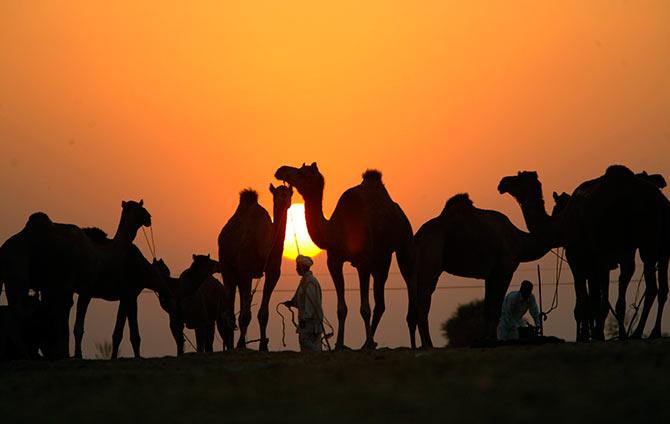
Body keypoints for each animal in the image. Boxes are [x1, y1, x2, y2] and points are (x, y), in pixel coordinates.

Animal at [219, 184, 292, 350]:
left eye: (290, 193)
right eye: (276, 194)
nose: (284, 200)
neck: (265, 247)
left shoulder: (273, 273)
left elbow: (263, 314)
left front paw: (263, 346)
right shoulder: (246, 271)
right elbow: (246, 315)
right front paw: (241, 344)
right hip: (226, 266)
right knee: (229, 307)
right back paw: (231, 345)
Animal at [276, 162, 418, 348]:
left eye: (302, 172)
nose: (281, 170)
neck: (337, 231)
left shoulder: (363, 262)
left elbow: (364, 308)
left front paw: (366, 343)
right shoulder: (334, 261)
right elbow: (341, 309)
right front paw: (338, 344)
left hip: (404, 241)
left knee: (410, 283)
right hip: (382, 258)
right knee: (380, 303)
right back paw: (368, 342)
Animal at [414, 194, 552, 346]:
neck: (520, 240)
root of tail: (417, 237)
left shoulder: (490, 274)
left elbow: (488, 306)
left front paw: (486, 338)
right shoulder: (504, 270)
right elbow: (496, 306)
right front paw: (494, 340)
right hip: (429, 260)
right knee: (423, 302)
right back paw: (428, 345)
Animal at [502, 166, 668, 342]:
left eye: (517, 178)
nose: (502, 183)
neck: (563, 223)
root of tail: (660, 201)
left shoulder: (580, 261)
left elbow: (586, 303)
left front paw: (589, 336)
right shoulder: (606, 260)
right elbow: (595, 300)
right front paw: (597, 334)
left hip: (619, 243)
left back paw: (634, 333)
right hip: (650, 244)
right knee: (654, 285)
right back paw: (646, 332)